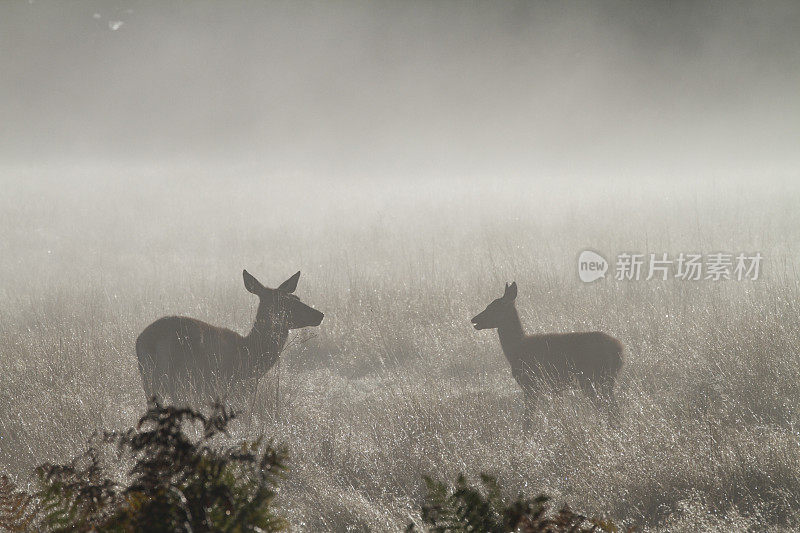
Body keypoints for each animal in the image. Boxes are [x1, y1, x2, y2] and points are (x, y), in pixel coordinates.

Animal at [136, 268, 324, 402]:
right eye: (284, 303)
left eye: (297, 298)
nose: (319, 314)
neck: (250, 354)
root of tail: (145, 340)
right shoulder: (228, 387)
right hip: (179, 380)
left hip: (150, 381)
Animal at [468, 280, 624, 414]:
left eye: (494, 307)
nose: (474, 319)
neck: (517, 348)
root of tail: (620, 349)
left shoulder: (530, 384)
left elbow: (527, 421)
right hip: (605, 380)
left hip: (592, 378)